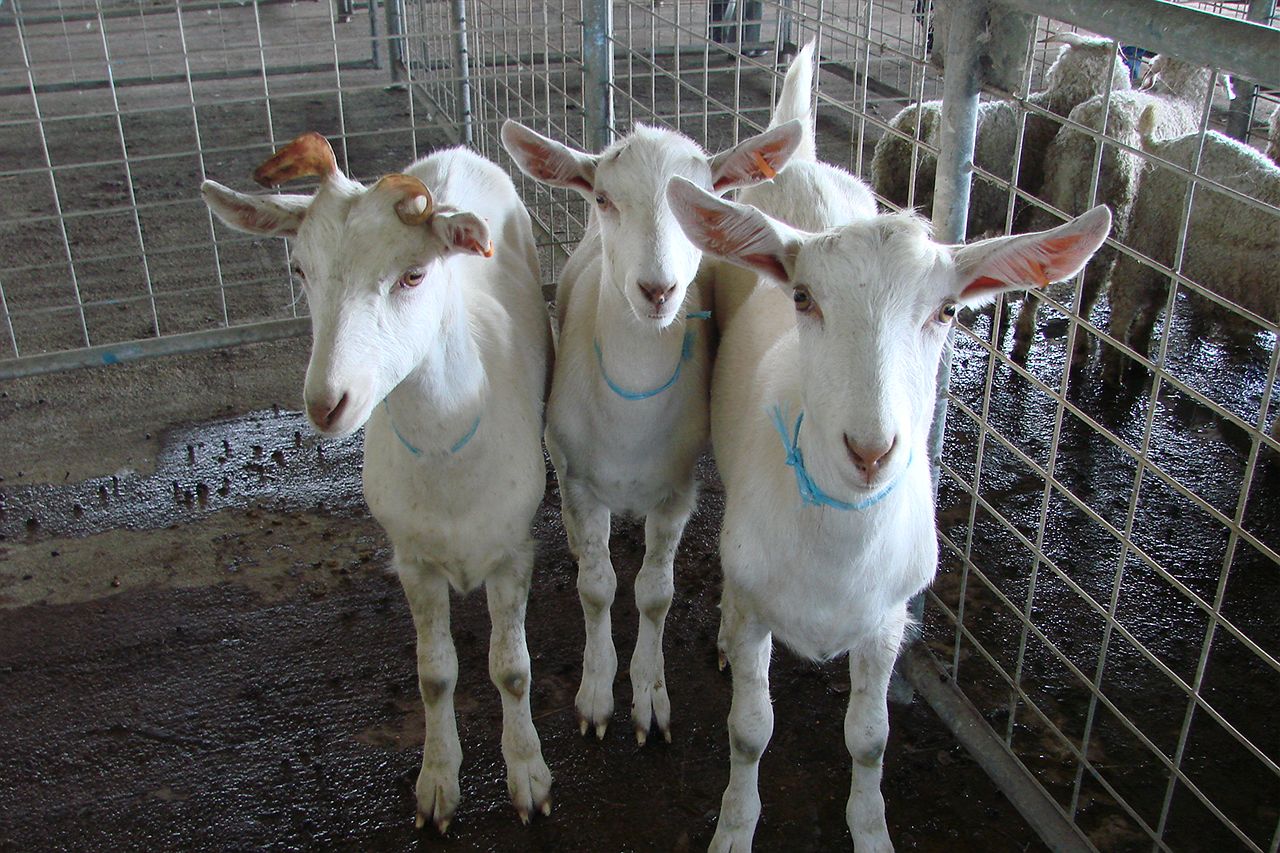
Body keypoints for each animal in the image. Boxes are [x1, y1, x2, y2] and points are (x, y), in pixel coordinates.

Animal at [201, 133, 553, 833]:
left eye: (413, 275)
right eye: (299, 270)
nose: (327, 403)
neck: (447, 459)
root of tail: (459, 148)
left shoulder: (512, 550)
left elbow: (513, 669)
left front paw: (527, 774)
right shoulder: (411, 558)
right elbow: (435, 675)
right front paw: (438, 783)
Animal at [499, 64, 806, 743]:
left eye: (704, 199)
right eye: (604, 198)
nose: (657, 289)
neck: (629, 421)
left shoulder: (677, 490)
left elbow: (654, 592)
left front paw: (648, 697)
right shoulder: (578, 481)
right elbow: (596, 587)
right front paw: (595, 695)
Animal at [668, 171, 1110, 850]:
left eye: (948, 309)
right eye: (803, 297)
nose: (871, 451)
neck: (836, 550)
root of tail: (802, 166)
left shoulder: (887, 620)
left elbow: (871, 740)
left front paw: (871, 829)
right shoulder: (757, 608)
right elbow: (748, 731)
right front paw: (735, 828)